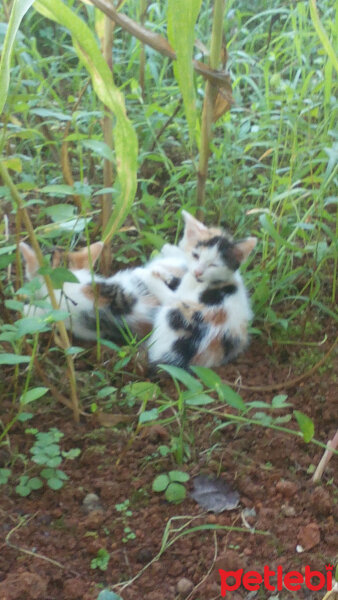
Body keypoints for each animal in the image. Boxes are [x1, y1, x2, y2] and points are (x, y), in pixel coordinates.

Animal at [143, 211, 256, 370]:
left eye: (213, 265)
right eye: (196, 255)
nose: (197, 272)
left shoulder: (179, 295)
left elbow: (168, 292)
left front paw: (148, 273)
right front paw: (172, 249)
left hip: (175, 312)